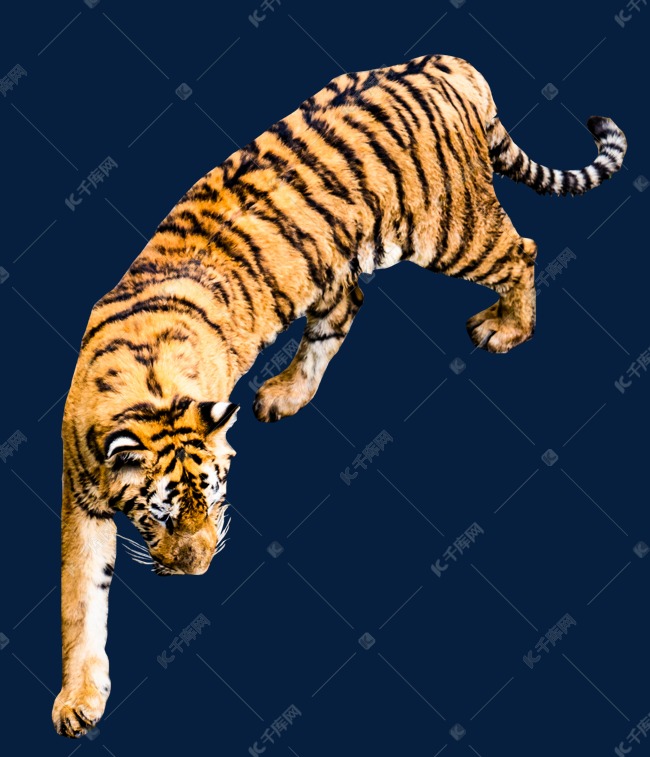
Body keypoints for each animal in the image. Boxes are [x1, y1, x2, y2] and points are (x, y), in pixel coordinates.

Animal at [52, 52, 626, 737]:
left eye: (212, 498)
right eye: (159, 514)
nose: (198, 571)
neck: (152, 390)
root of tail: (447, 63)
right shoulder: (81, 497)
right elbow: (81, 601)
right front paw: (78, 701)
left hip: (450, 232)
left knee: (522, 250)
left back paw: (506, 329)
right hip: (338, 257)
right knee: (344, 309)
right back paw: (287, 395)